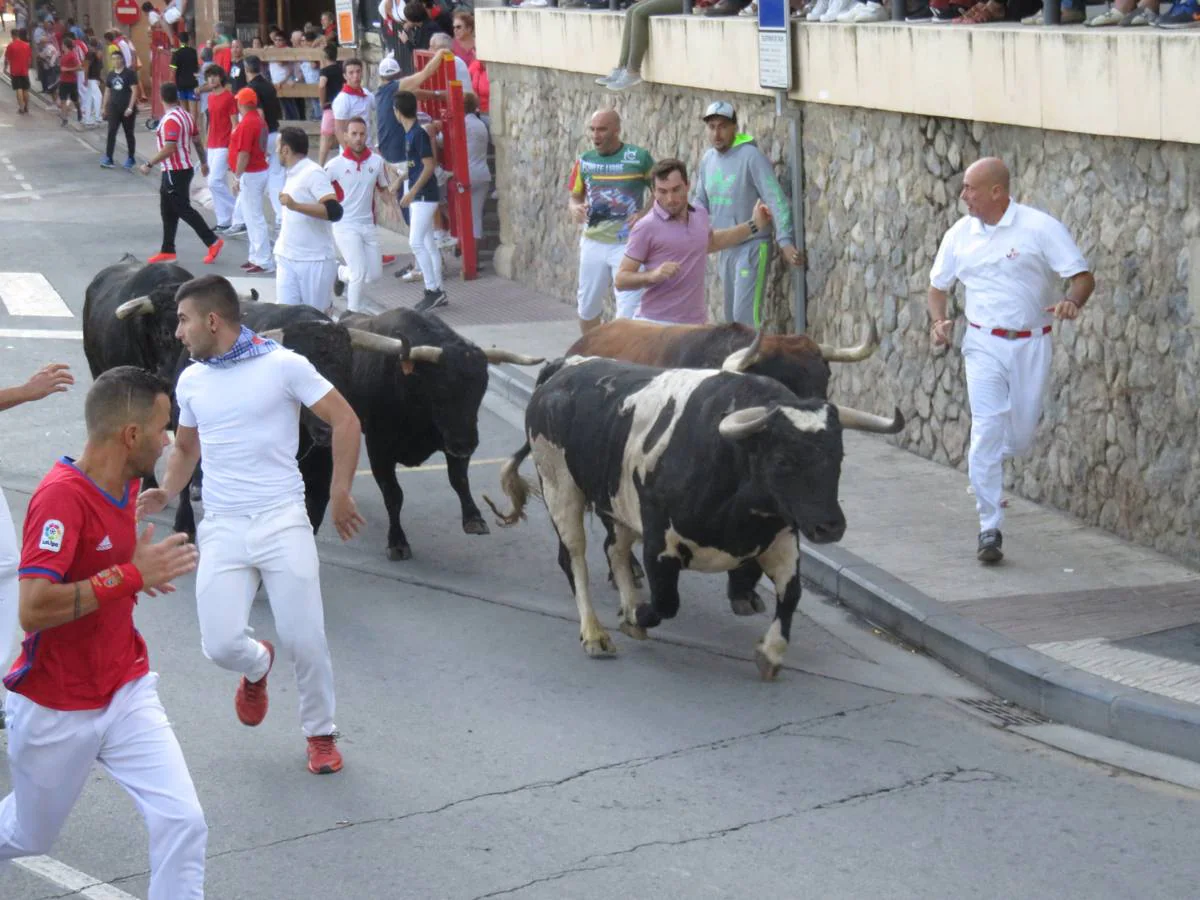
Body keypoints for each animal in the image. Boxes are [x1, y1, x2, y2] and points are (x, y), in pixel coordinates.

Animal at [338, 309, 544, 564]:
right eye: (442, 389)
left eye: (482, 388)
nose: (467, 444)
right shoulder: (378, 449)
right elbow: (393, 495)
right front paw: (397, 542)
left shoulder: (451, 439)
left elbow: (459, 479)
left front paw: (474, 518)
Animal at [482, 355, 902, 681]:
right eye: (783, 460)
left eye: (839, 456)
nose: (831, 526)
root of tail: (564, 367)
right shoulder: (659, 545)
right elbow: (666, 603)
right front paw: (638, 617)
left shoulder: (782, 539)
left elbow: (791, 594)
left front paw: (770, 652)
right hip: (561, 488)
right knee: (574, 558)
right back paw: (595, 633)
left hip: (616, 502)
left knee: (613, 549)